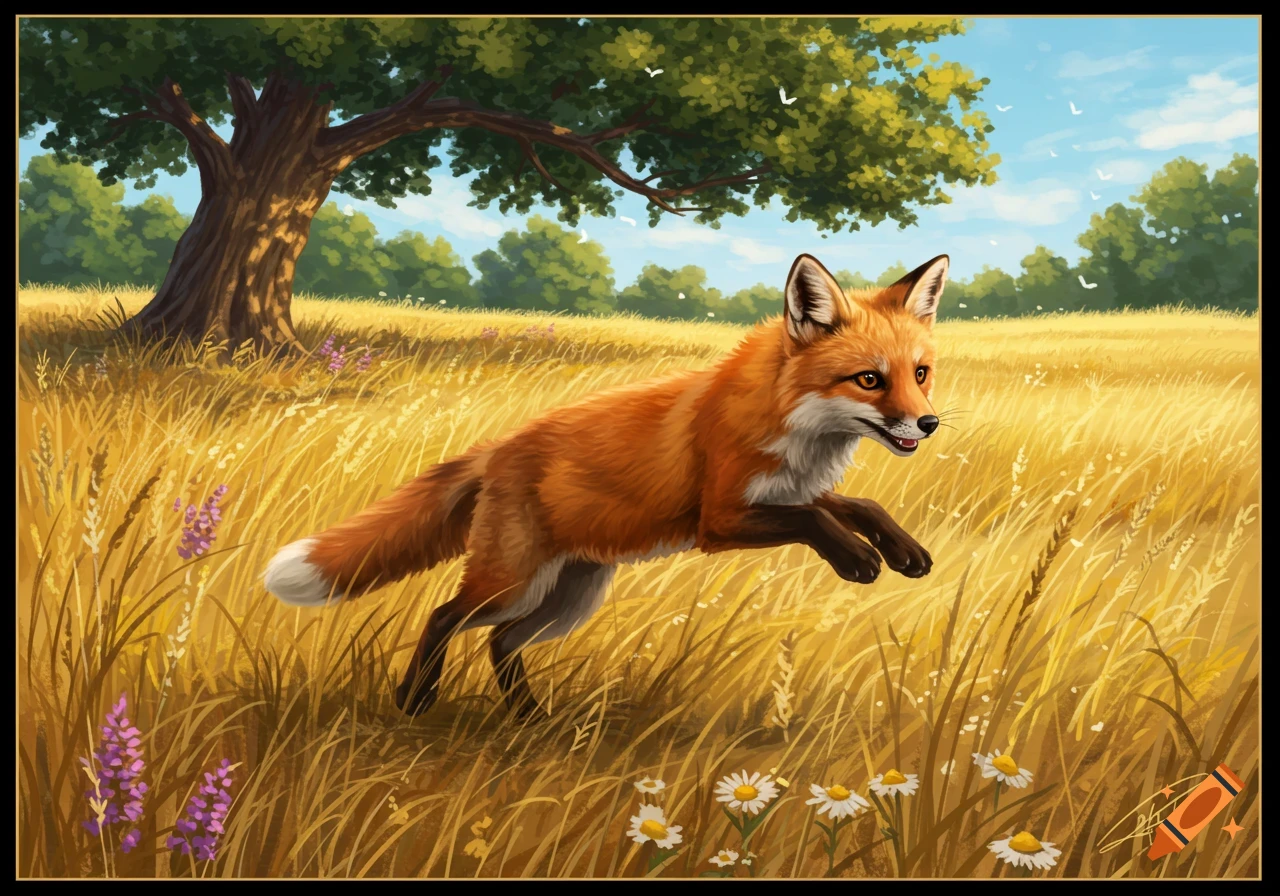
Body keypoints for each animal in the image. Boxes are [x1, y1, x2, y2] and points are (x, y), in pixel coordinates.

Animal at [263, 252, 948, 719]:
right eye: (868, 379)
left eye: (920, 373)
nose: (929, 424)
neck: (795, 424)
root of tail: (497, 450)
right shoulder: (722, 518)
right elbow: (818, 520)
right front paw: (857, 558)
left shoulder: (786, 489)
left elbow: (859, 503)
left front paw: (902, 550)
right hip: (512, 583)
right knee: (443, 617)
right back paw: (415, 700)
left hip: (567, 597)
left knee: (501, 643)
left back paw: (529, 719)